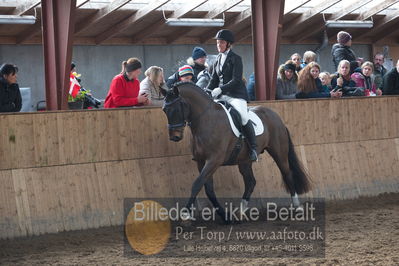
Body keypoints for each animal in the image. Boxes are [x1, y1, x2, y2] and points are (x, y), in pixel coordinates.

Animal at [161, 81, 310, 222]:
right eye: (164, 110)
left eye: (176, 108)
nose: (175, 137)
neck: (206, 120)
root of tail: (277, 117)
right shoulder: (201, 161)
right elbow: (208, 189)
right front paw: (225, 216)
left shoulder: (214, 160)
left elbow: (197, 184)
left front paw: (185, 214)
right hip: (244, 160)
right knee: (250, 182)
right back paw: (240, 212)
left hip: (279, 152)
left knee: (287, 174)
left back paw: (297, 207)